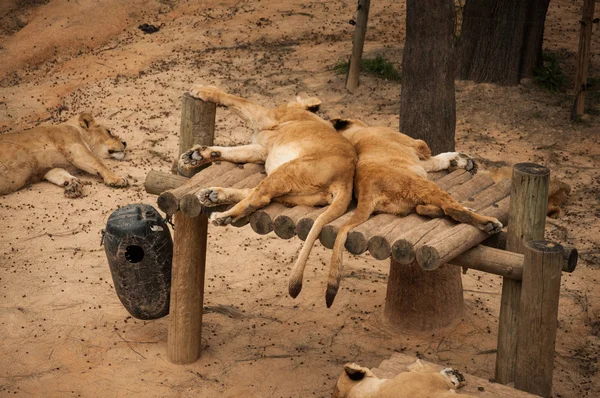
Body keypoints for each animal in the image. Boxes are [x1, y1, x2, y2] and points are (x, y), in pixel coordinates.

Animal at [0, 112, 129, 197]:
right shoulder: (75, 147)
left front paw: (72, 185)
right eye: (109, 132)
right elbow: (98, 163)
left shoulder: (47, 168)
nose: (125, 143)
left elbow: (59, 173)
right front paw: (116, 179)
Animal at [177, 84, 356, 302]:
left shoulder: (266, 117)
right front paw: (197, 156)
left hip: (288, 169)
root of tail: (346, 180)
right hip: (289, 187)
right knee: (258, 193)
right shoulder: (261, 149)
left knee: (258, 198)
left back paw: (222, 215)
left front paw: (202, 90)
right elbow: (233, 152)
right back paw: (213, 195)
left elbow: (235, 99)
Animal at [318, 119, 502, 306]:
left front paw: (458, 160)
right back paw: (488, 223)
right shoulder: (415, 144)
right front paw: (459, 159)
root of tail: (367, 191)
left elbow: (436, 161)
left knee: (426, 208)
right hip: (423, 185)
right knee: (451, 208)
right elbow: (429, 152)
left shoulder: (419, 162)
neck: (354, 135)